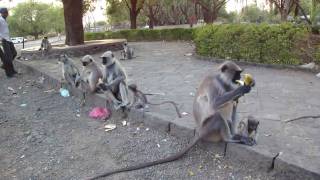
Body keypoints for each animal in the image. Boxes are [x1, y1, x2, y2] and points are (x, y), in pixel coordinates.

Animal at [87, 61, 258, 179]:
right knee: (218, 116)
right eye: (236, 74)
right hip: (209, 128)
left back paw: (237, 135)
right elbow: (216, 103)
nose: (239, 79)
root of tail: (200, 131)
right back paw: (230, 138)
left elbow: (234, 102)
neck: (223, 81)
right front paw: (243, 88)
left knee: (232, 109)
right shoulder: (214, 83)